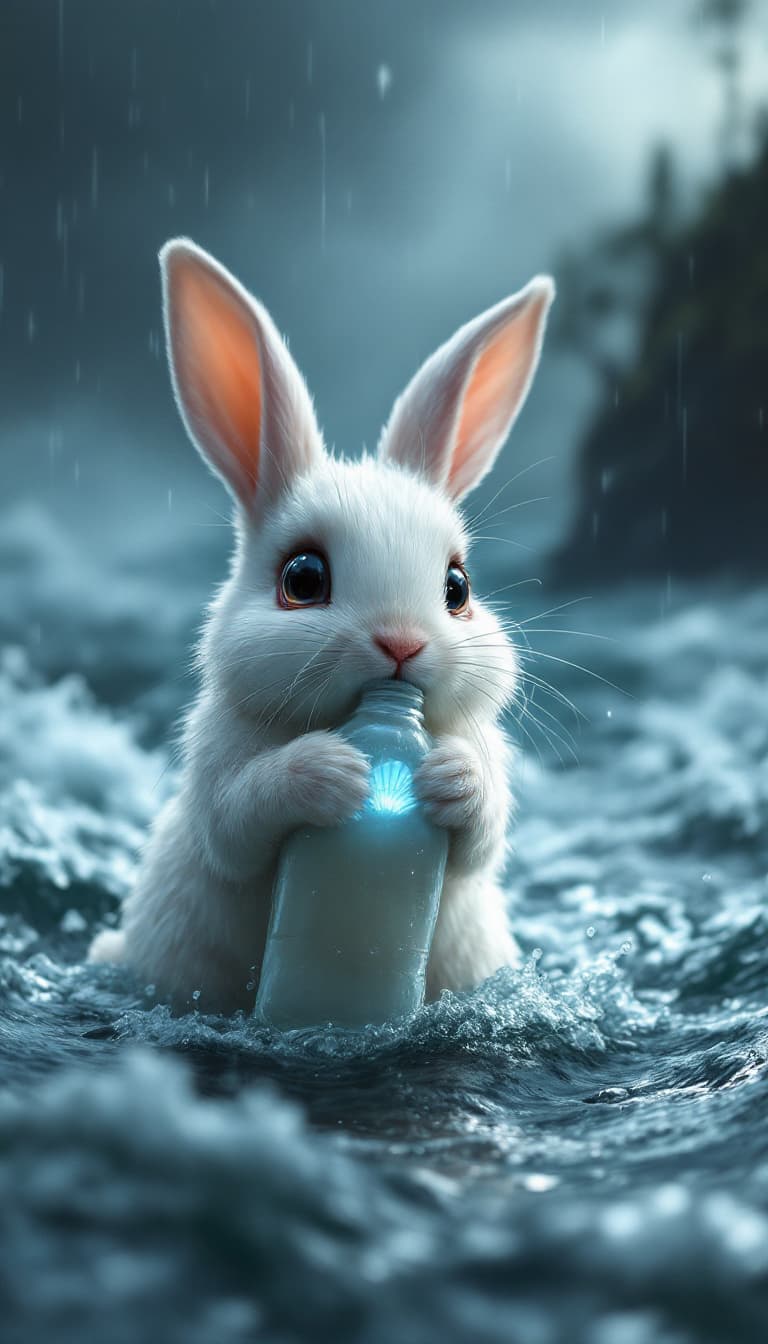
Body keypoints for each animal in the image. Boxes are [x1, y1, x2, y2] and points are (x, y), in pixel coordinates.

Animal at [89, 238, 554, 1014]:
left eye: (457, 588)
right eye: (302, 579)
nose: (402, 644)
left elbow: (483, 835)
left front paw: (452, 778)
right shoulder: (218, 773)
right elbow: (241, 818)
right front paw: (330, 770)